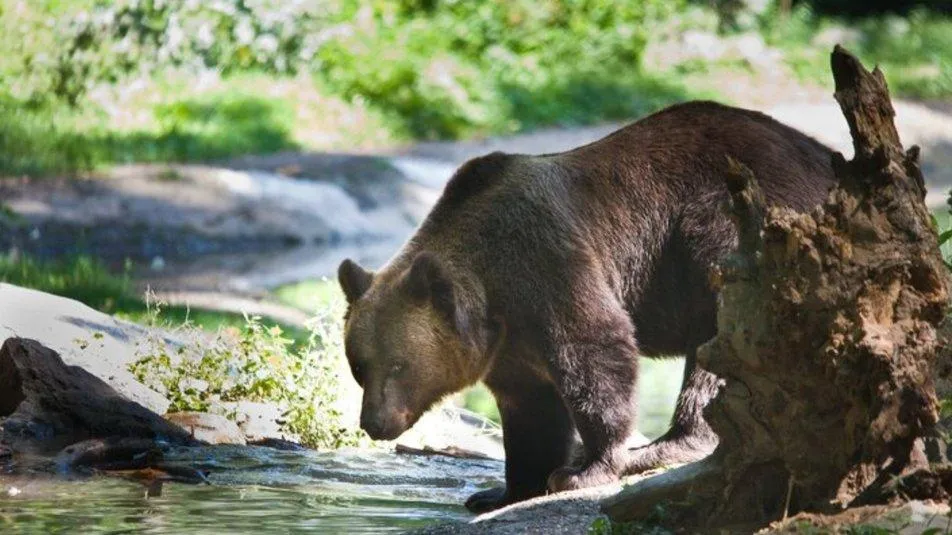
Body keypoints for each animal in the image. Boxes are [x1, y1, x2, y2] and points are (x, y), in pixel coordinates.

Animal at [336, 100, 832, 516]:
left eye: (399, 365)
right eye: (358, 366)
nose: (374, 423)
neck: (493, 293)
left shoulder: (549, 264)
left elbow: (596, 351)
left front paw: (584, 470)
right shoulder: (507, 345)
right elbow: (531, 410)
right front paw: (501, 491)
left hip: (733, 228)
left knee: (721, 340)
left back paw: (662, 447)